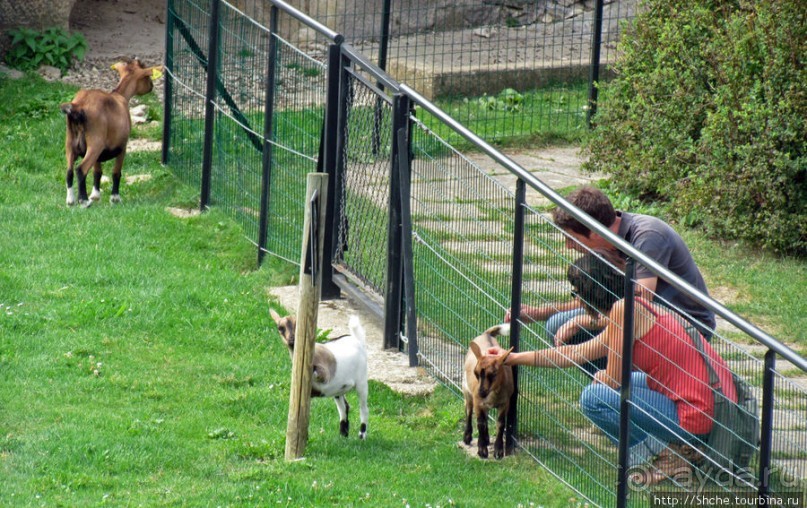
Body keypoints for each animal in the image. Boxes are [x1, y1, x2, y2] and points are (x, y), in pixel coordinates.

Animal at [61, 59, 163, 208]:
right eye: (147, 76)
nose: (152, 86)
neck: (120, 95)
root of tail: (78, 106)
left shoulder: (99, 153)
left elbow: (97, 171)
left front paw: (95, 195)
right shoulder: (122, 146)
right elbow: (116, 172)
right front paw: (115, 197)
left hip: (70, 142)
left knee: (69, 171)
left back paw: (70, 200)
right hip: (95, 143)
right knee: (81, 169)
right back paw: (84, 201)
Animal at [272, 308, 372, 438]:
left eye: (298, 323)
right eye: (280, 328)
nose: (292, 339)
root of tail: (357, 340)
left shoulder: (326, 374)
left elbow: (319, 374)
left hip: (362, 381)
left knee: (364, 408)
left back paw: (362, 434)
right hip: (339, 389)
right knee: (344, 406)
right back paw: (343, 433)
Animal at [464, 326, 516, 460]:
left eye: (493, 374)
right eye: (475, 373)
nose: (481, 392)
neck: (493, 394)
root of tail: (486, 334)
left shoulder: (505, 403)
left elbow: (501, 424)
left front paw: (498, 451)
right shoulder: (478, 402)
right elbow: (480, 423)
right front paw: (482, 451)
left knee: (486, 415)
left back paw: (486, 439)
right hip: (466, 390)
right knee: (468, 410)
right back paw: (467, 437)